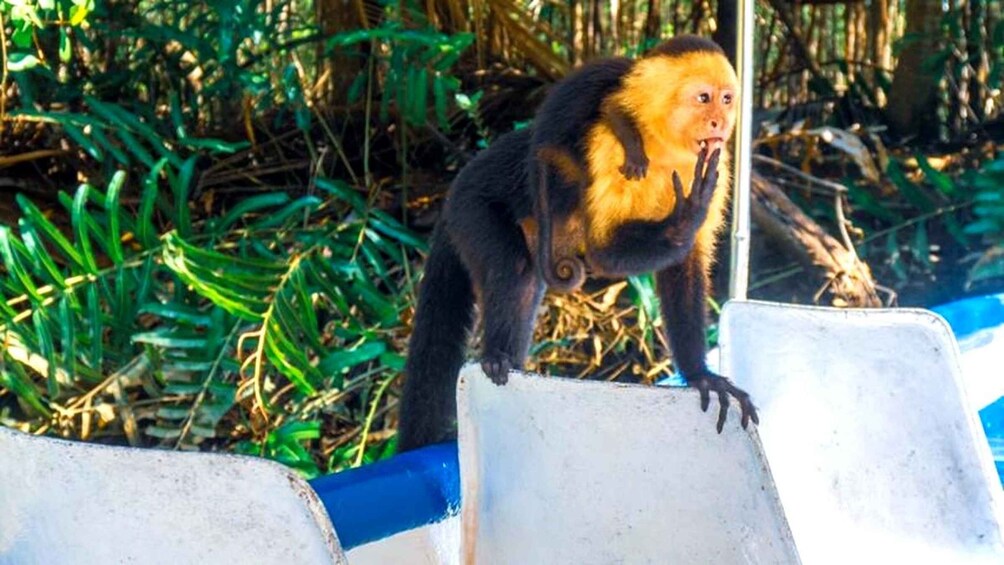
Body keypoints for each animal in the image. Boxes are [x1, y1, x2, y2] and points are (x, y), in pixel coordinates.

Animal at [396, 35, 758, 452]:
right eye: (704, 98)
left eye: (727, 99)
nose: (721, 122)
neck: (663, 145)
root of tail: (451, 192)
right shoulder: (608, 147)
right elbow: (602, 253)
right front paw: (686, 215)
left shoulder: (718, 160)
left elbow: (683, 266)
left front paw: (701, 375)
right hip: (472, 207)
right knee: (512, 267)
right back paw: (497, 357)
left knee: (526, 284)